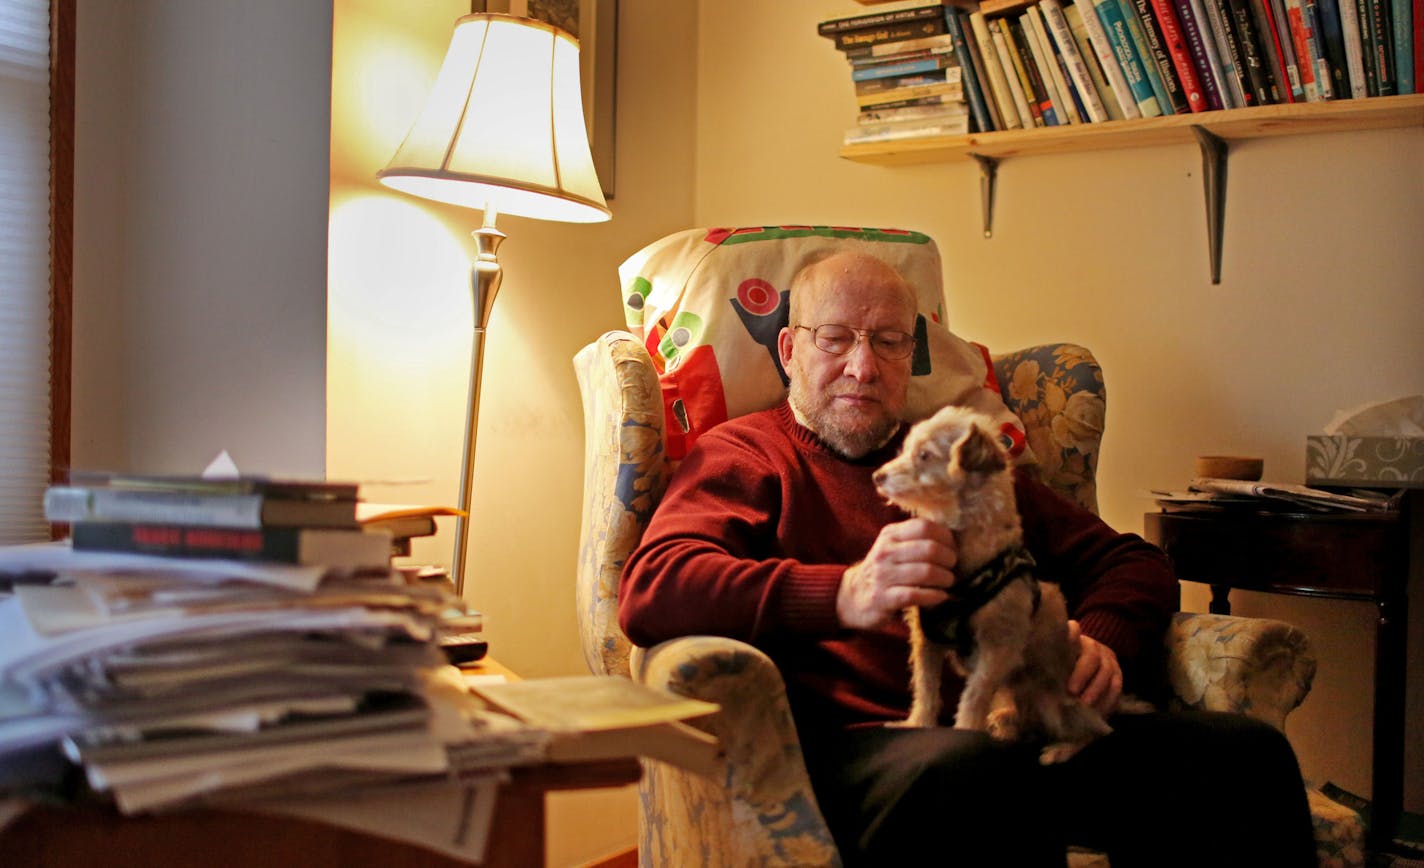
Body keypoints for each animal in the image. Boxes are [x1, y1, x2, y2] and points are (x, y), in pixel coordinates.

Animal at [865, 401, 1110, 762]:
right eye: (905, 449)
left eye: (924, 455)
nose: (877, 476)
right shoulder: (926, 640)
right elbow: (925, 689)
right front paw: (915, 724)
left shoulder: (997, 648)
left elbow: (973, 696)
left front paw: (965, 730)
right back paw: (1005, 725)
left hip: (1055, 700)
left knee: (1097, 731)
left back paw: (1061, 748)